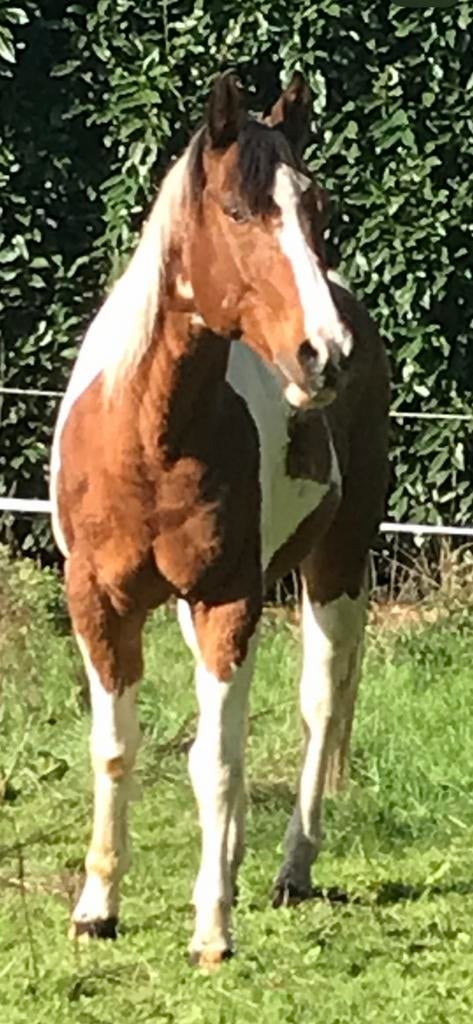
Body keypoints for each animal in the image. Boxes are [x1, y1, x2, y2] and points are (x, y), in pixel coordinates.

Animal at [50, 70, 389, 967]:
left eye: (317, 208)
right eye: (237, 212)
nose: (323, 353)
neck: (146, 434)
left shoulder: (226, 599)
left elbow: (219, 766)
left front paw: (210, 926)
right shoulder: (99, 604)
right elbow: (115, 749)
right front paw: (96, 908)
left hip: (333, 565)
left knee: (318, 705)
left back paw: (288, 869)